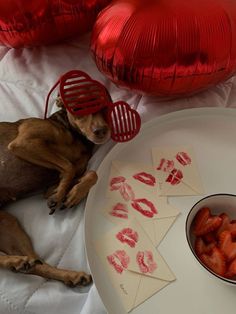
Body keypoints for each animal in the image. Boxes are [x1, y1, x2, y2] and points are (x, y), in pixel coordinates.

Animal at [0, 97, 110, 288]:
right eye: (79, 107)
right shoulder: (24, 143)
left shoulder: (50, 187)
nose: (101, 131)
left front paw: (72, 195)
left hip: (8, 223)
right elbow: (69, 166)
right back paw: (15, 261)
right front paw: (61, 197)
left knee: (37, 265)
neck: (75, 136)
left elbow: (91, 173)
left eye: (106, 106)